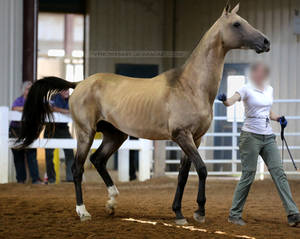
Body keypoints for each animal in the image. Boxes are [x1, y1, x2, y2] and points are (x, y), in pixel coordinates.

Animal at [16, 2, 270, 225]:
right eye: (237, 24)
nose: (265, 42)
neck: (190, 86)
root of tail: (78, 84)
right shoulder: (182, 135)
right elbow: (202, 169)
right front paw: (199, 212)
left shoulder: (194, 138)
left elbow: (183, 175)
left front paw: (179, 213)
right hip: (85, 133)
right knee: (77, 168)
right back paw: (83, 212)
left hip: (115, 135)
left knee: (98, 160)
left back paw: (112, 203)